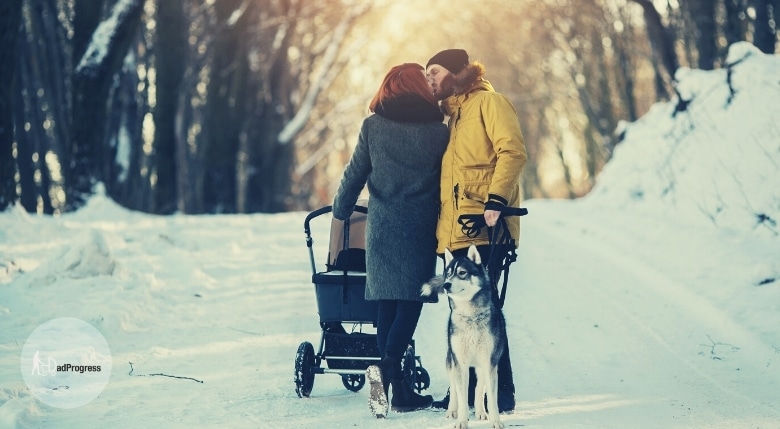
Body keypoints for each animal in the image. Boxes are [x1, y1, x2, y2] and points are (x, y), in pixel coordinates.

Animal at [420, 244, 506, 428]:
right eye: (448, 273)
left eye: (462, 272)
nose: (446, 284)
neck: (470, 317)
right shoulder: (460, 363)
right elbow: (462, 396)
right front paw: (461, 420)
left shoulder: (489, 363)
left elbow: (490, 397)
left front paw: (495, 420)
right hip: (451, 361)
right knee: (453, 388)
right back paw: (452, 410)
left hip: (482, 365)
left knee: (479, 387)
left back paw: (481, 411)